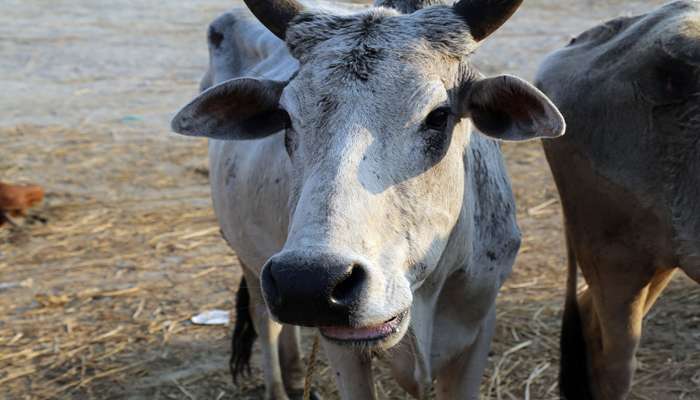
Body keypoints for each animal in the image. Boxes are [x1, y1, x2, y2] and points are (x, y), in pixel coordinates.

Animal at [172, 0, 568, 398]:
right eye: (285, 117)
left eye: (439, 116)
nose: (307, 284)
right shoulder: (341, 347)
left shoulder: (479, 328)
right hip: (249, 259)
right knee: (263, 318)